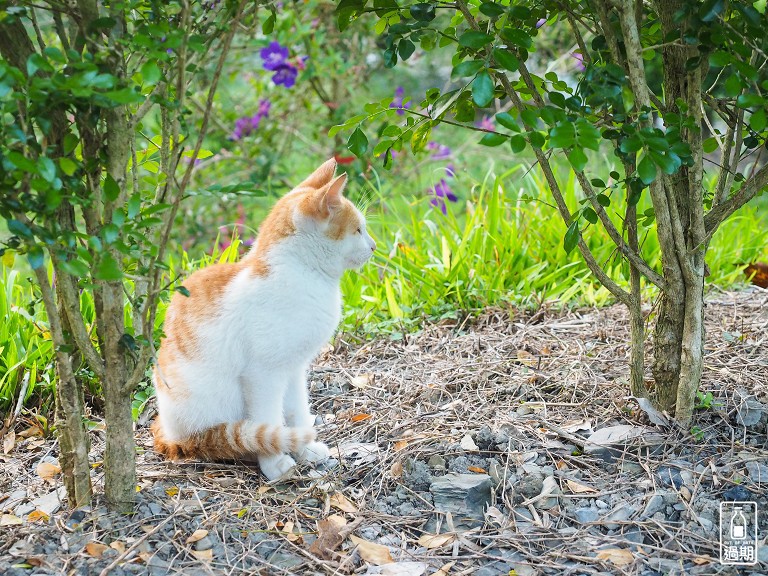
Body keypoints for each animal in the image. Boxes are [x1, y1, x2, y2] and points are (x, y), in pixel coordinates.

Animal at [152, 160, 376, 480]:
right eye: (358, 229)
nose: (373, 246)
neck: (301, 273)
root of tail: (169, 434)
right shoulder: (263, 375)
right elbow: (269, 419)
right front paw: (274, 462)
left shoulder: (294, 369)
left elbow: (296, 411)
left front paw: (304, 449)